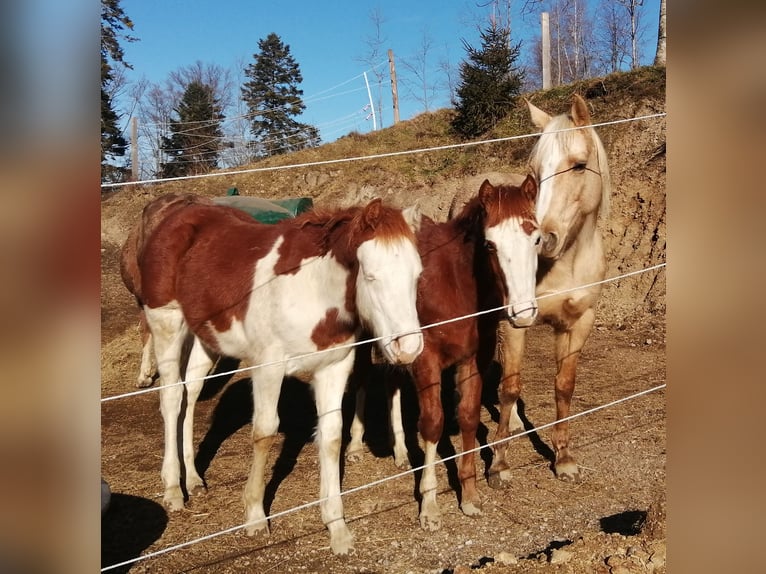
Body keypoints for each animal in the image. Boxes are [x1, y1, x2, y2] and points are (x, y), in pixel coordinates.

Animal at [138, 197, 426, 552]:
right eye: (371, 277)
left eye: (417, 276)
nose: (408, 348)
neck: (313, 288)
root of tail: (176, 215)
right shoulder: (269, 366)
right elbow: (264, 433)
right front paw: (255, 516)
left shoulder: (334, 367)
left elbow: (331, 436)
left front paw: (337, 528)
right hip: (167, 324)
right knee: (172, 397)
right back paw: (173, 489)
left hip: (208, 338)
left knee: (189, 393)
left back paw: (192, 478)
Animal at [352, 178, 544, 532]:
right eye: (489, 245)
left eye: (536, 238)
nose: (522, 313)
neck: (454, 285)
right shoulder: (426, 361)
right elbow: (432, 423)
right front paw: (429, 507)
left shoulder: (473, 359)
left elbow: (468, 417)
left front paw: (469, 495)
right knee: (360, 379)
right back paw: (356, 446)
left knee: (390, 382)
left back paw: (400, 451)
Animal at [492, 93, 612, 486]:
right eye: (534, 172)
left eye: (578, 166)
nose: (542, 239)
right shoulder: (513, 322)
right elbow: (510, 387)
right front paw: (499, 464)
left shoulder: (579, 322)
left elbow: (564, 385)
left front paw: (563, 457)